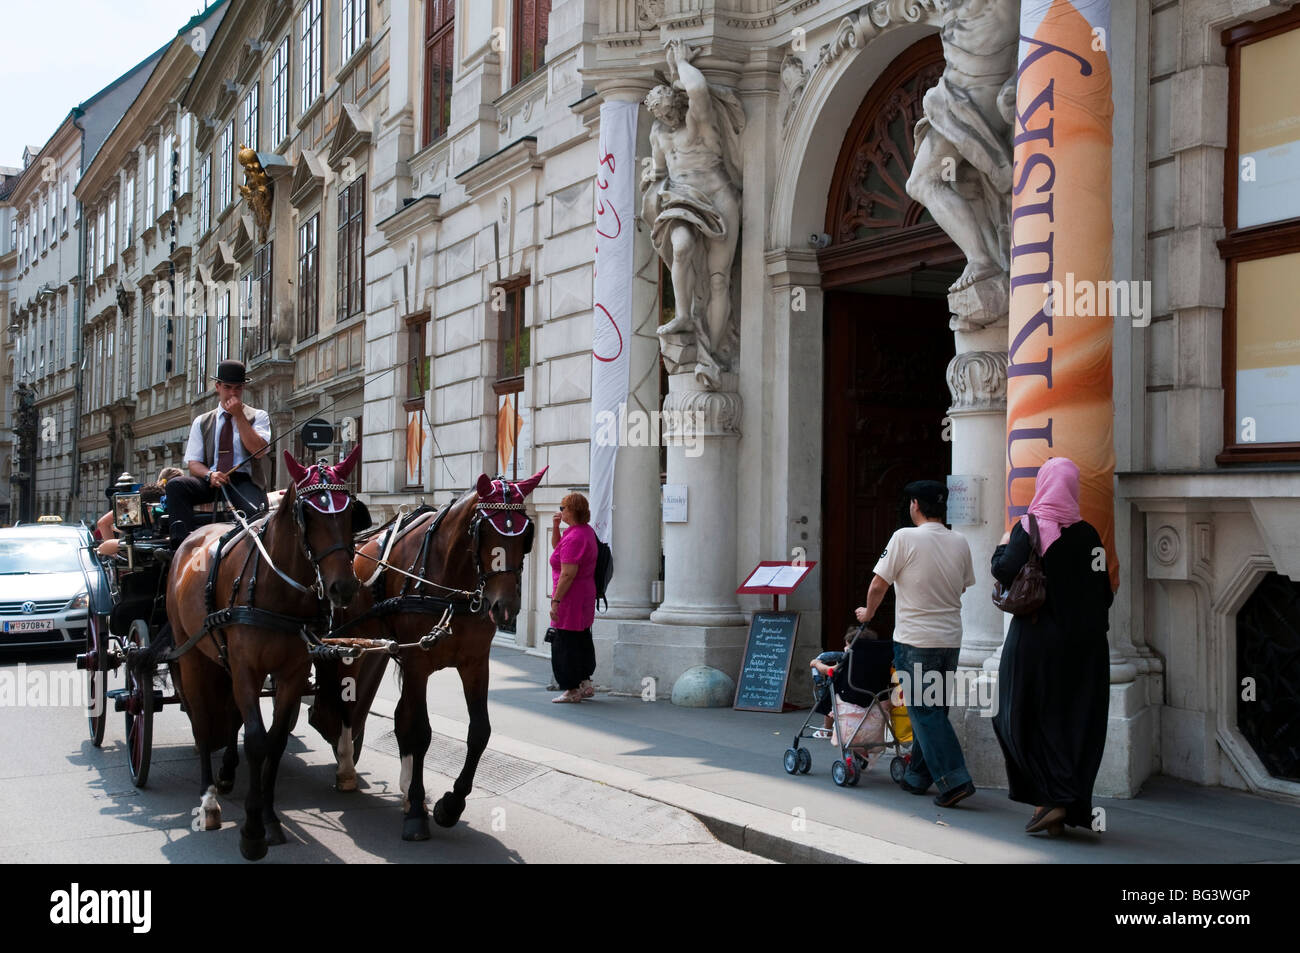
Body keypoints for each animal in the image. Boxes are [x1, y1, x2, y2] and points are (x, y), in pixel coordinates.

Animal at [166, 449, 366, 858]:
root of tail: (190, 536)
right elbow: (257, 739)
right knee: (201, 721)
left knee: (228, 717)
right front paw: (252, 830)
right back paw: (209, 800)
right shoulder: (246, 669)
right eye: (308, 513)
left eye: (350, 512)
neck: (278, 590)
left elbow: (274, 741)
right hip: (191, 655)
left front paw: (271, 819)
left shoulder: (291, 674)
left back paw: (227, 773)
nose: (343, 587)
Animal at [309, 468, 543, 842]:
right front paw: (418, 811)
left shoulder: (474, 664)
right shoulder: (418, 664)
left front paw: (450, 805)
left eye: (525, 535)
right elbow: (418, 729)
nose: (504, 607)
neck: (452, 589)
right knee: (348, 702)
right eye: (483, 531)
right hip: (349, 643)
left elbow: (479, 732)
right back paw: (346, 764)